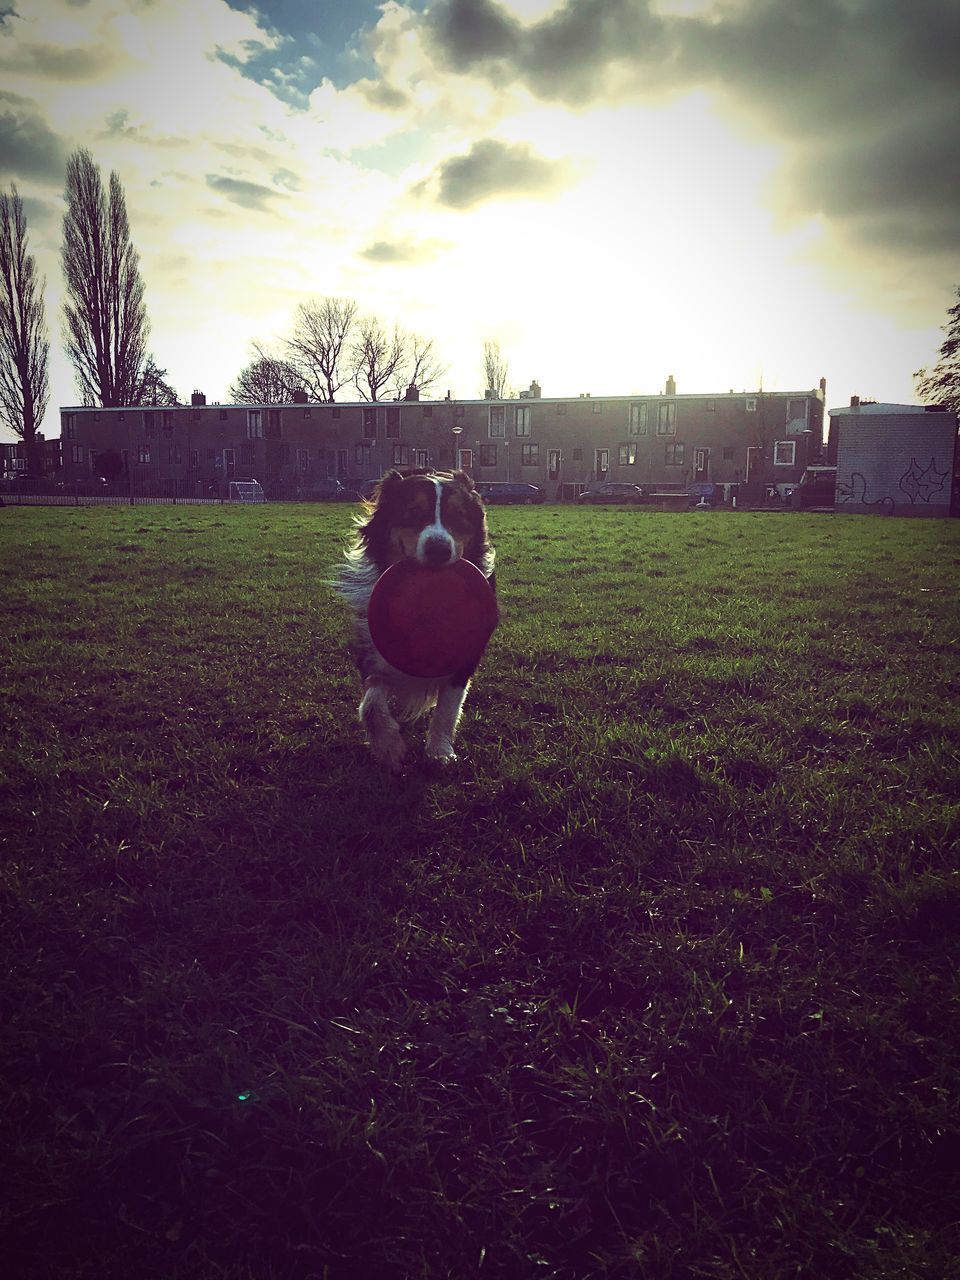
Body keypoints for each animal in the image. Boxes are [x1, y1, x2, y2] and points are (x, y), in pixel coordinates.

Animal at [335, 468, 496, 768]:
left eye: (458, 516)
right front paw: (388, 746)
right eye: (413, 512)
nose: (439, 550)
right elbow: (370, 704)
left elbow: (448, 707)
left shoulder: (466, 654)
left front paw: (439, 751)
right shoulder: (372, 648)